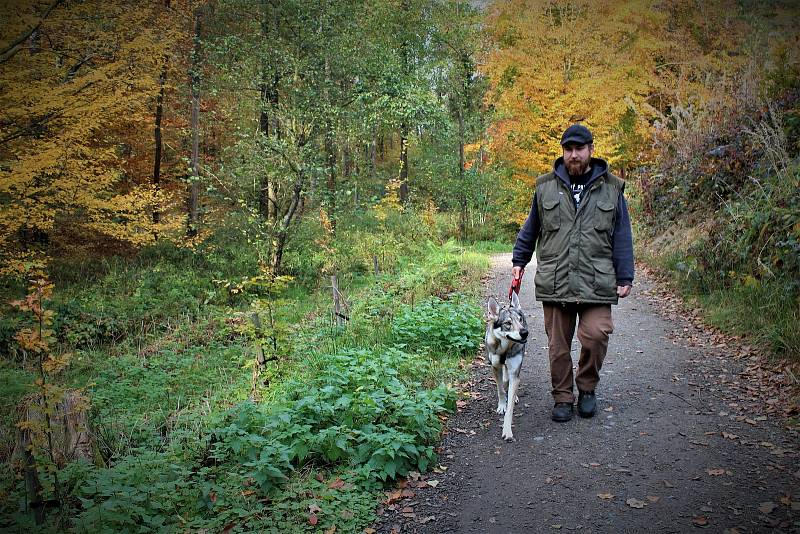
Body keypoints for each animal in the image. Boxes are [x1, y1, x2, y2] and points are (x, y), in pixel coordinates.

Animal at [484, 296, 528, 442]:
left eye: (520, 319)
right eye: (508, 323)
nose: (525, 332)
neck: (505, 348)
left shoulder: (515, 372)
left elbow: (510, 408)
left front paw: (507, 431)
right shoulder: (495, 367)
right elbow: (500, 390)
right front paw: (502, 405)